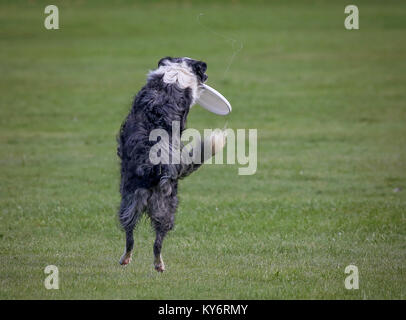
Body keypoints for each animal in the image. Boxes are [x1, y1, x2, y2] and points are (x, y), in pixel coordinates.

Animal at [117, 56, 225, 272]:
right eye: (204, 72)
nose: (208, 77)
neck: (175, 72)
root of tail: (152, 166)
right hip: (163, 204)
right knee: (154, 241)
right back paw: (156, 264)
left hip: (131, 201)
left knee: (134, 237)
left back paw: (134, 260)